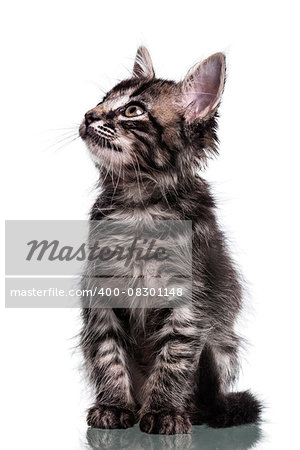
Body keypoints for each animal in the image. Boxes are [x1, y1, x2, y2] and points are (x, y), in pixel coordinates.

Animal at [78, 47, 262, 434]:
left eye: (133, 110)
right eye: (102, 101)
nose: (88, 115)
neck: (139, 206)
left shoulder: (189, 300)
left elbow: (174, 359)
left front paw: (164, 411)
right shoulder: (100, 294)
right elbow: (107, 354)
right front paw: (113, 406)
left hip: (223, 347)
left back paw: (186, 410)